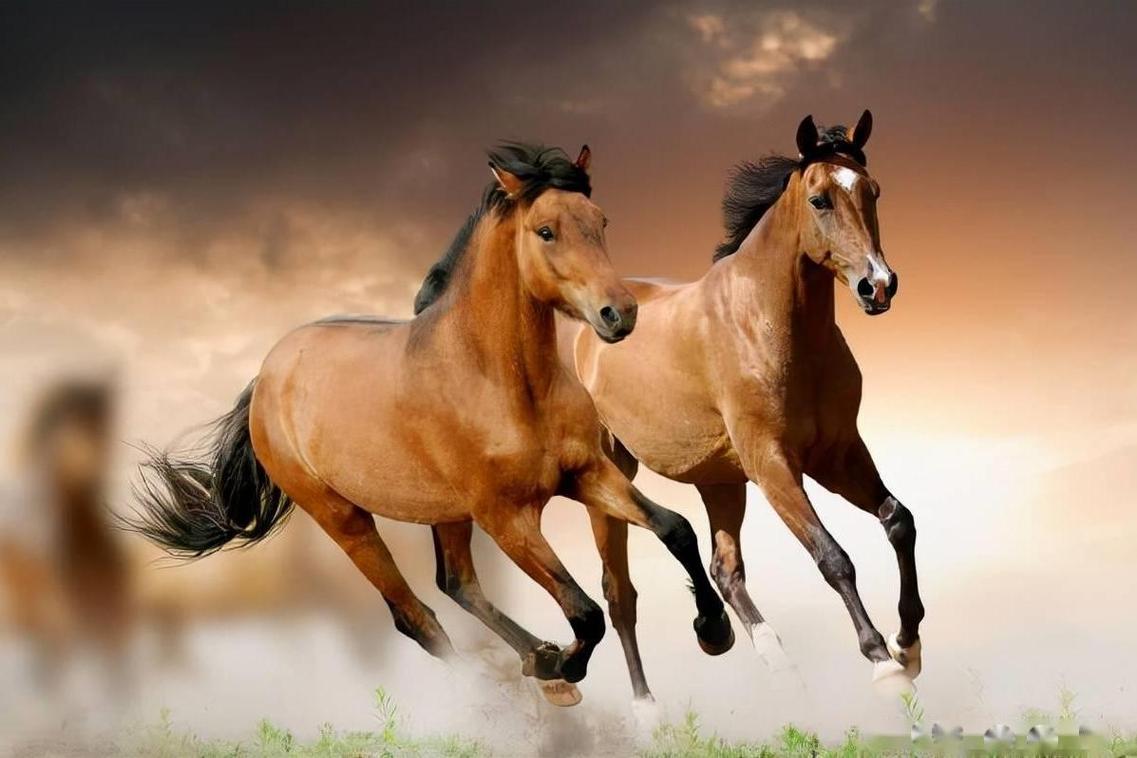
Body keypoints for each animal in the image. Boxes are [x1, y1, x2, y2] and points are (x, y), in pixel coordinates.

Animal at [129, 142, 733, 707]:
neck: (502, 381)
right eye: (545, 231)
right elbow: (584, 612)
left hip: (446, 513)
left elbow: (675, 528)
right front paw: (566, 665)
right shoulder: (507, 518)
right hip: (345, 518)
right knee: (415, 616)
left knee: (456, 583)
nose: (619, 314)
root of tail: (266, 375)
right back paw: (520, 688)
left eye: (600, 221)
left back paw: (537, 661)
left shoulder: (585, 473)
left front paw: (714, 630)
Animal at [570, 112, 925, 702]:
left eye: (872, 191)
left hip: (720, 480)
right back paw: (649, 709)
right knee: (620, 594)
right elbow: (833, 557)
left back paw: (766, 657)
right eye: (820, 199)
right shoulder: (773, 465)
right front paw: (882, 662)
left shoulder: (838, 454)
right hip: (610, 478)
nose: (878, 286)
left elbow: (899, 521)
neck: (768, 325)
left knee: (724, 569)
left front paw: (909, 644)